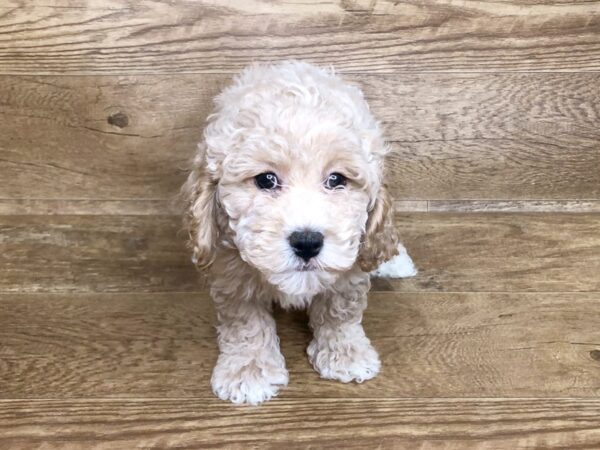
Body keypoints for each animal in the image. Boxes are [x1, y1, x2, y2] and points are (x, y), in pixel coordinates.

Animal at [183, 60, 418, 404]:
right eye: (266, 180)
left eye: (337, 180)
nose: (307, 242)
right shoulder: (231, 268)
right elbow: (245, 320)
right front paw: (249, 370)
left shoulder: (349, 263)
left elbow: (340, 309)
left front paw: (345, 353)